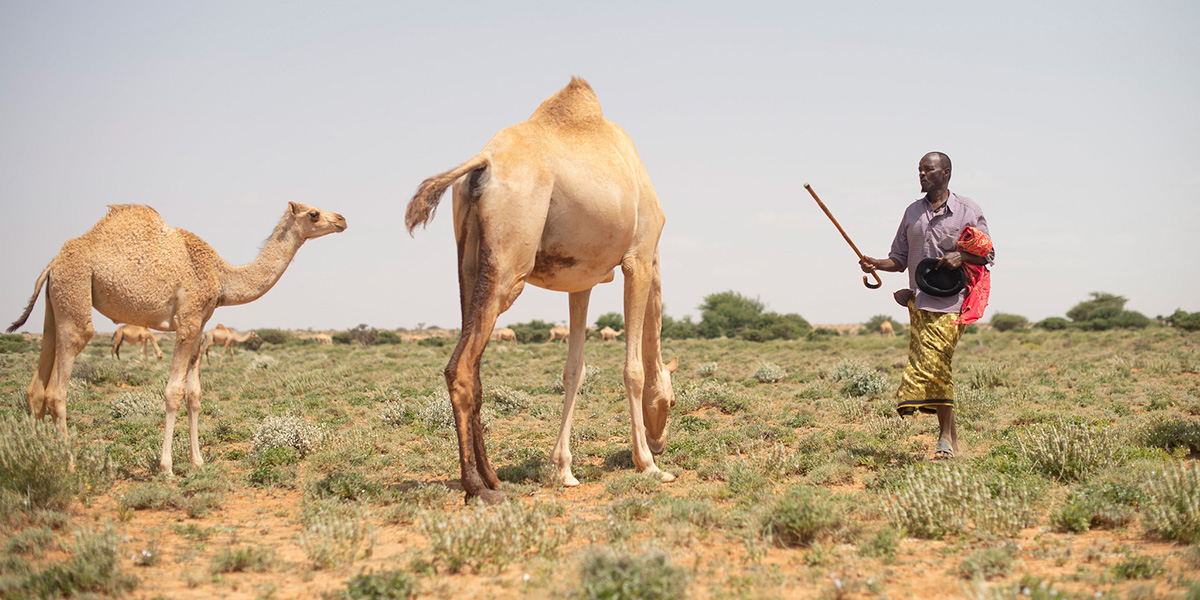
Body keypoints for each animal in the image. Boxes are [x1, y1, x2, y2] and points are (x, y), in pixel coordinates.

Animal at [8, 201, 348, 472]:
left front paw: (197, 461)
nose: (342, 219)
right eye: (313, 213)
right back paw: (67, 464)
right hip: (75, 295)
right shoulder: (186, 321)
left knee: (36, 387)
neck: (220, 276)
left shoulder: (199, 326)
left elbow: (194, 395)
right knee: (58, 389)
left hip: (55, 305)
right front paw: (167, 466)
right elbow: (173, 392)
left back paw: (37, 457)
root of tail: (52, 265)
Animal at [408, 77, 676, 504]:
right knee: (461, 367)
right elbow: (632, 369)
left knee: (473, 366)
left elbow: (573, 370)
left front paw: (563, 470)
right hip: (509, 267)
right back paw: (477, 487)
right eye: (671, 399)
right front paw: (648, 465)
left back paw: (494, 477)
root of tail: (482, 163)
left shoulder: (582, 279)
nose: (661, 442)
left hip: (469, 265)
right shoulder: (639, 257)